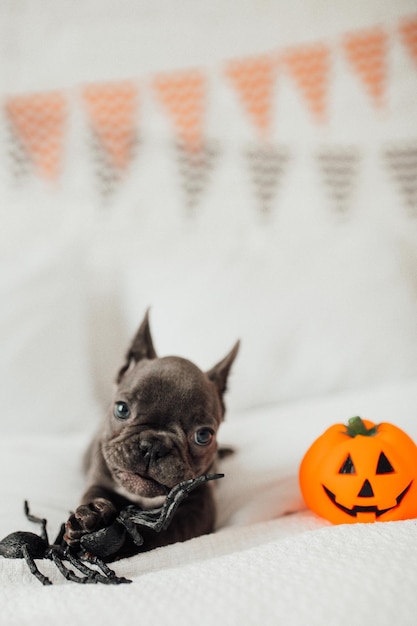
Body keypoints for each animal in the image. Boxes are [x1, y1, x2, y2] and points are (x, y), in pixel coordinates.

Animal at [63, 310, 239, 552]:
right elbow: (94, 496)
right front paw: (90, 518)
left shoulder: (199, 508)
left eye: (203, 436)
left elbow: (158, 532)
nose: (154, 446)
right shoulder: (99, 481)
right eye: (121, 409)